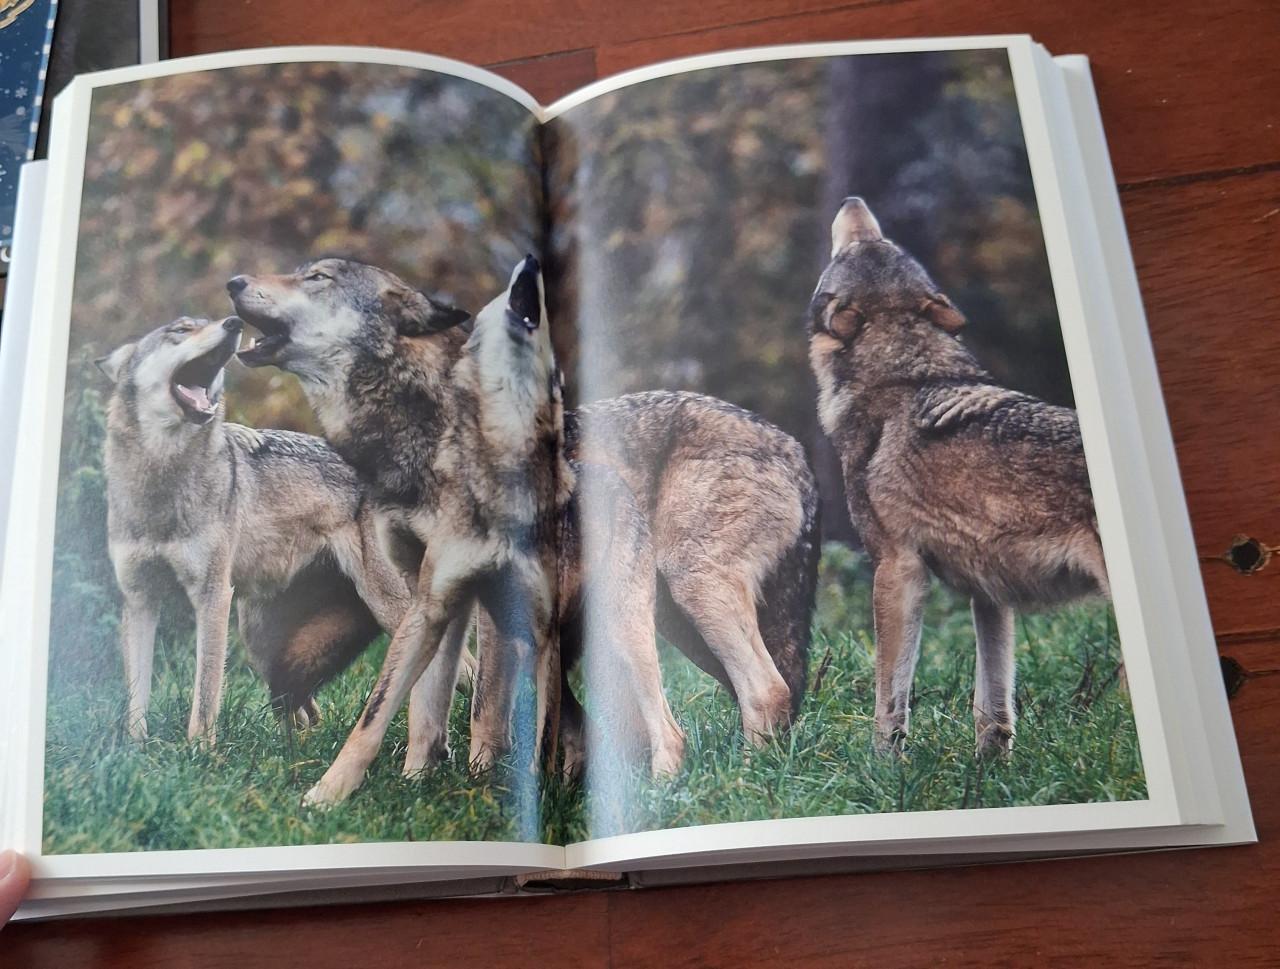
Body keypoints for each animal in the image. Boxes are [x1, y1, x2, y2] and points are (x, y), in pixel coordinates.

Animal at [97, 315, 412, 744]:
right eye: (181, 329)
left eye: (204, 324)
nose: (232, 322)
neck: (162, 481)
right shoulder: (139, 598)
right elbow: (136, 697)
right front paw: (135, 748)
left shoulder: (212, 597)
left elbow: (205, 695)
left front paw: (200, 751)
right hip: (261, 643)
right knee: (308, 713)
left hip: (389, 610)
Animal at [232, 256, 564, 806]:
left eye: (318, 278)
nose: (234, 282)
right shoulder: (426, 588)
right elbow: (415, 701)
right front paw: (414, 779)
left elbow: (484, 700)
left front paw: (479, 774)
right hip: (268, 635)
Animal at [808, 197, 1110, 756]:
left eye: (861, 245)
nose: (852, 201)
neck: (904, 374)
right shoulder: (989, 593)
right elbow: (992, 707)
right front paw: (991, 769)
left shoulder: (897, 569)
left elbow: (889, 697)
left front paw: (884, 768)